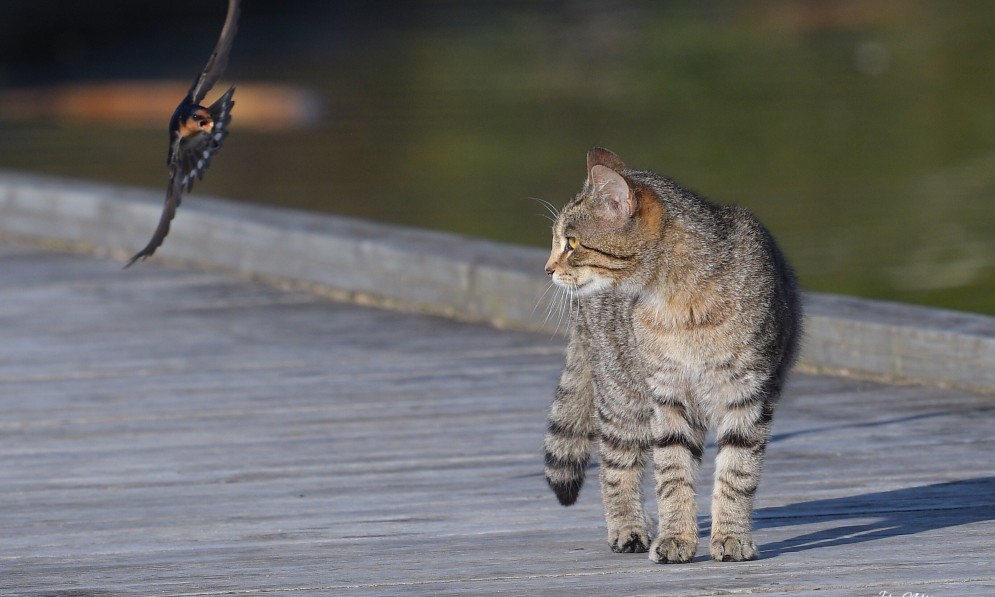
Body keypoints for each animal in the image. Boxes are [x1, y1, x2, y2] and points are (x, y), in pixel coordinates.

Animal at [544, 147, 800, 560]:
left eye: (572, 243)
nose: (547, 268)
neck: (678, 300)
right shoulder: (668, 395)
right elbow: (672, 473)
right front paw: (676, 536)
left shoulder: (747, 395)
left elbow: (737, 472)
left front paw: (731, 535)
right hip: (623, 395)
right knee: (616, 466)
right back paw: (628, 527)